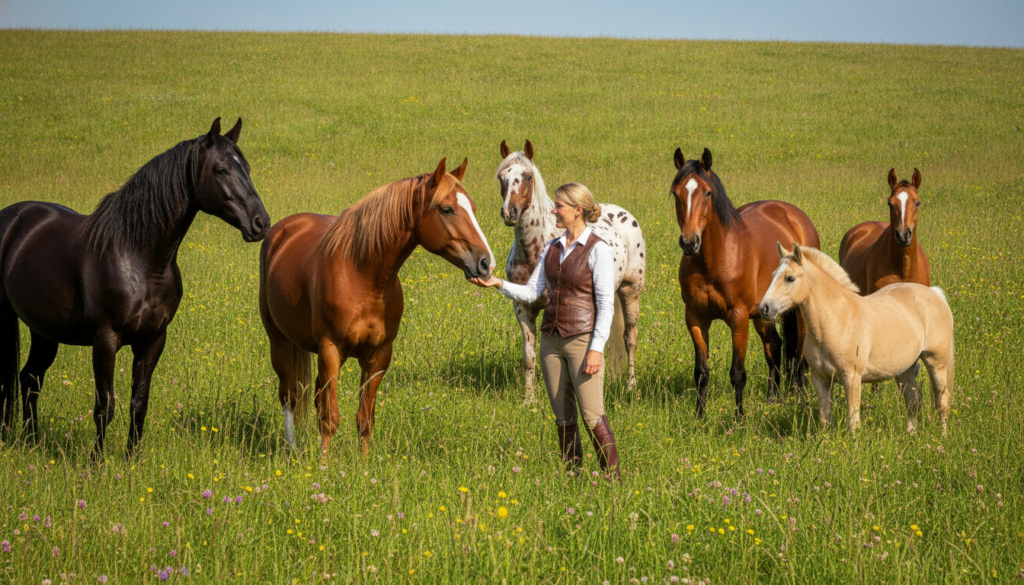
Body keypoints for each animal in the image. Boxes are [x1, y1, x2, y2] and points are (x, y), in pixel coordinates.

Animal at [0, 118, 270, 458]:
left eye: (246, 167)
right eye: (221, 169)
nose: (261, 223)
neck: (139, 257)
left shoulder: (152, 340)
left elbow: (138, 403)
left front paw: (132, 458)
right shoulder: (105, 340)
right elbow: (105, 406)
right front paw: (97, 462)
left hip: (44, 331)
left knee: (30, 379)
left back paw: (31, 440)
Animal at [259, 158, 495, 456]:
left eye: (472, 208)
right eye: (447, 209)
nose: (486, 263)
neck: (363, 276)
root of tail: (283, 229)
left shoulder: (379, 356)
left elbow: (364, 419)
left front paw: (363, 463)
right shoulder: (330, 350)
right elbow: (330, 419)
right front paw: (323, 466)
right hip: (280, 343)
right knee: (289, 396)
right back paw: (291, 449)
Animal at [496, 139, 646, 402]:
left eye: (527, 176)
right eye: (501, 176)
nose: (509, 213)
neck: (535, 249)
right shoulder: (523, 309)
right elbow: (529, 356)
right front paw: (529, 399)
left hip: (630, 292)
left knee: (631, 339)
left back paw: (630, 385)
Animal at [671, 148, 820, 418]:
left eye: (707, 193)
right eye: (676, 192)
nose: (689, 243)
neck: (714, 260)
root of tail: (795, 216)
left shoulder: (738, 318)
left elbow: (738, 373)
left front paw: (739, 418)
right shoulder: (695, 318)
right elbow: (701, 372)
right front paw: (700, 416)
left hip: (797, 311)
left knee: (799, 349)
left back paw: (801, 391)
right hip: (762, 313)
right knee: (775, 346)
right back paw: (773, 398)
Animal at [759, 243, 954, 435]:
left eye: (790, 278)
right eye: (773, 275)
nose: (764, 308)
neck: (838, 321)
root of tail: (935, 294)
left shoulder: (852, 379)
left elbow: (853, 423)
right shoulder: (820, 380)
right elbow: (825, 420)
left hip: (936, 362)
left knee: (942, 401)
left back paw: (942, 437)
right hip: (905, 368)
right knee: (913, 399)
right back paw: (910, 435)